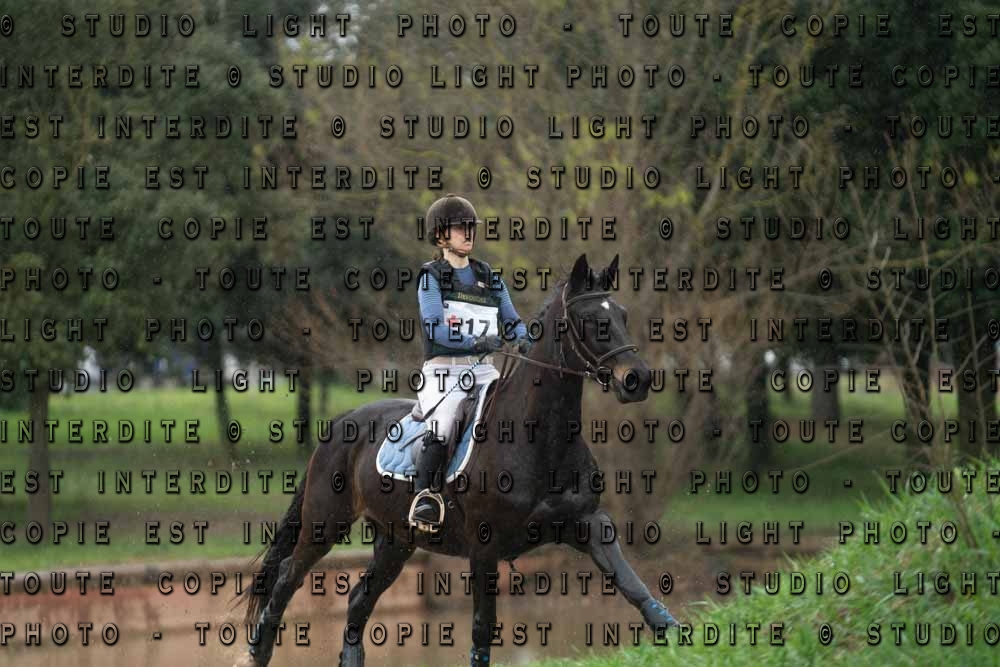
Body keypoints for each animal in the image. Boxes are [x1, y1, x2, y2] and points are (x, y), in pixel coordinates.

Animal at [233, 253, 678, 667]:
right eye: (589, 320)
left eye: (621, 315)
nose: (637, 379)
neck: (541, 440)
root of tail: (343, 420)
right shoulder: (485, 547)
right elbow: (482, 626)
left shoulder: (587, 522)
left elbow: (632, 583)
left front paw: (673, 633)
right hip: (325, 523)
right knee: (287, 577)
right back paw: (256, 651)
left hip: (396, 540)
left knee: (359, 597)